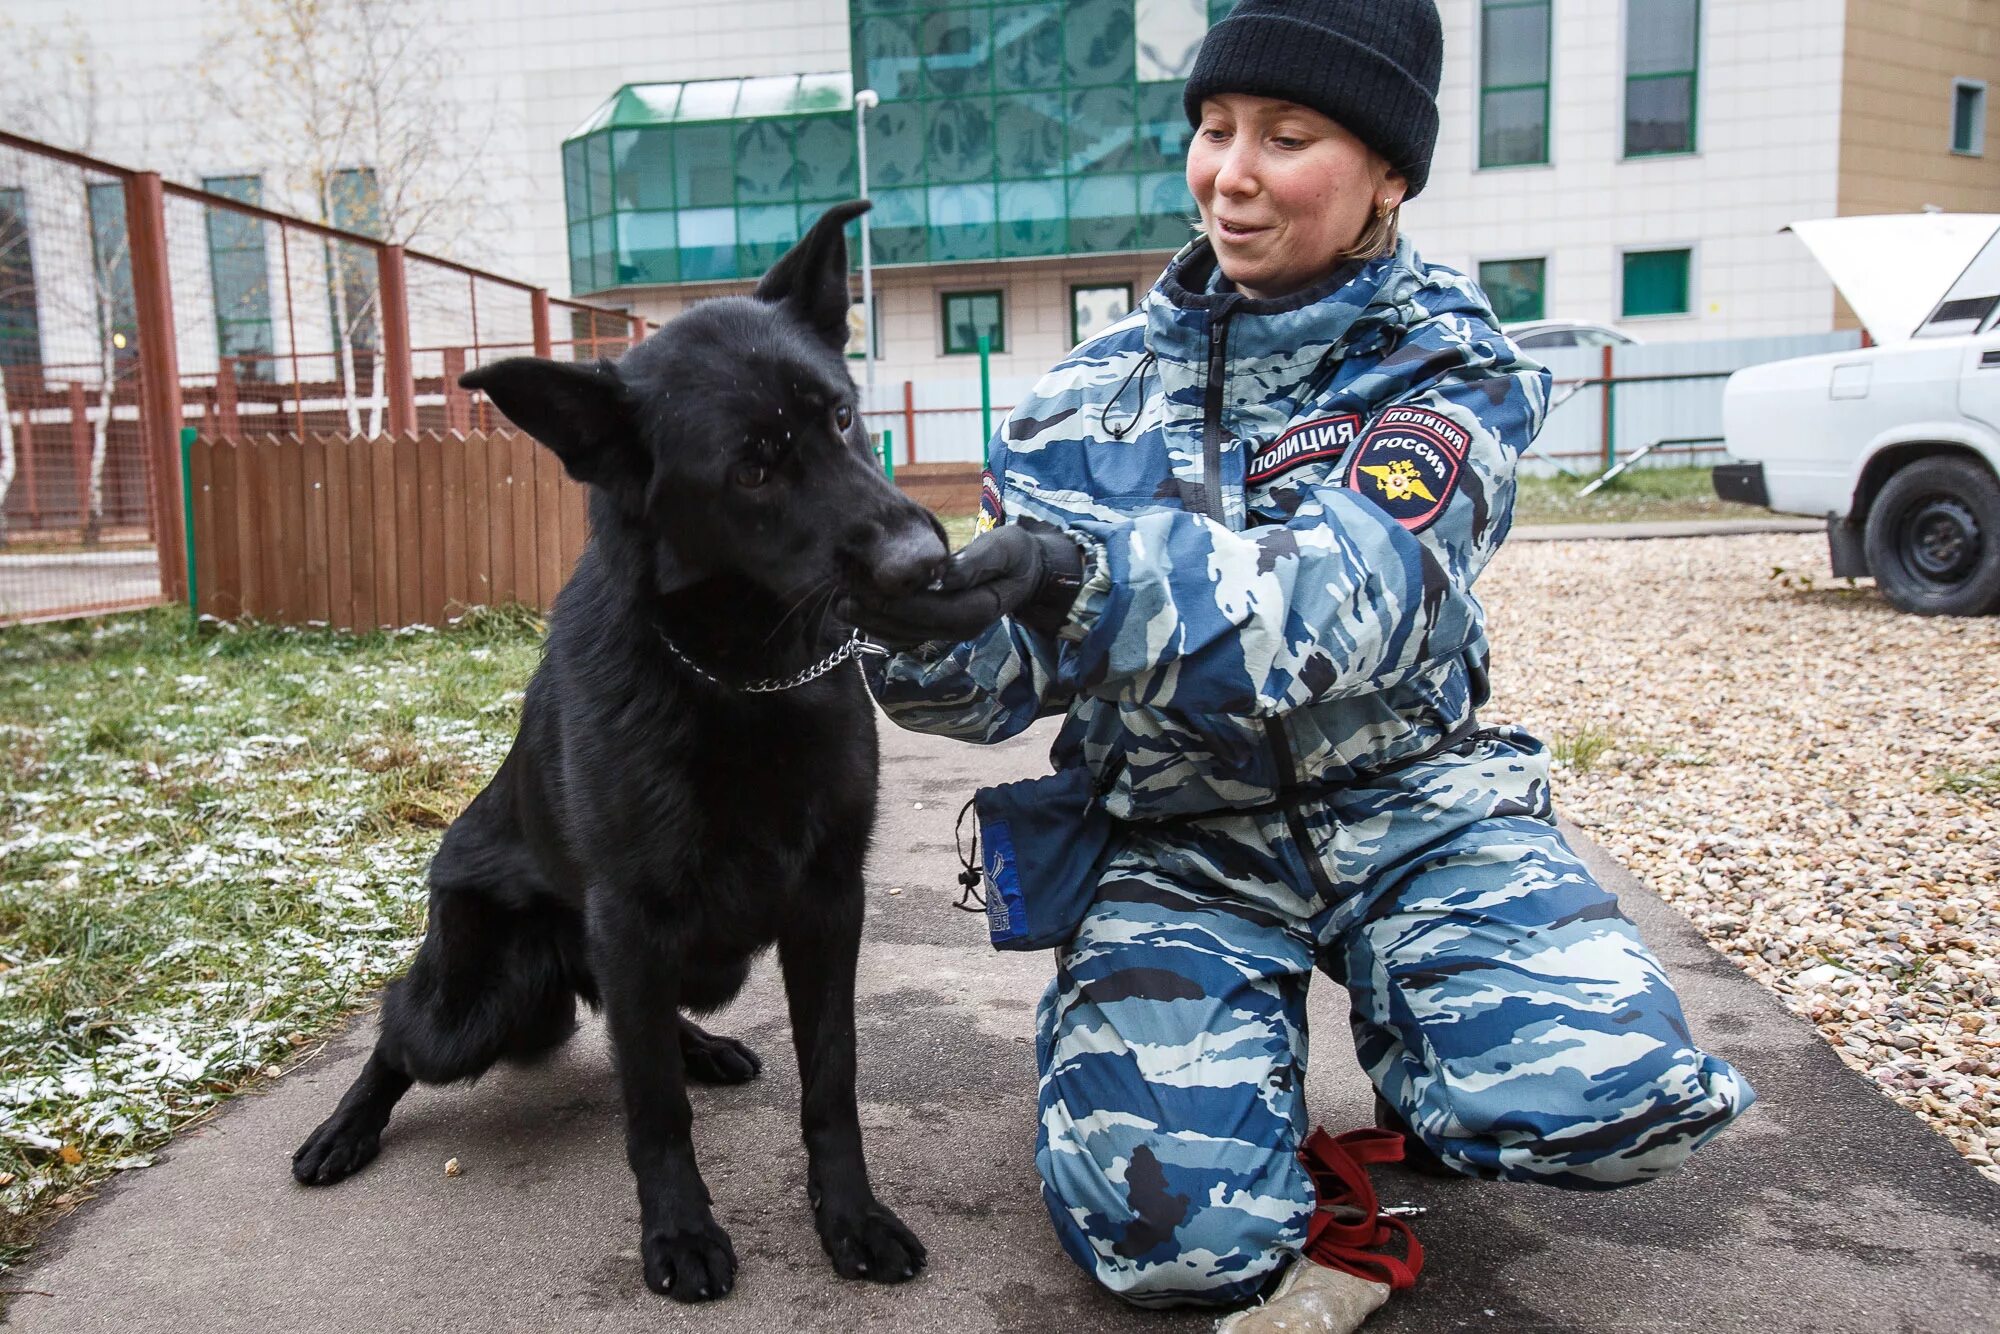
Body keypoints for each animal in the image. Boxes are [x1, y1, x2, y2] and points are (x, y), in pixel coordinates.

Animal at [292, 201, 944, 1304]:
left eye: (843, 420)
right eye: (750, 468)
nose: (928, 562)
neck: (734, 675)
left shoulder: (827, 904)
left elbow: (832, 1079)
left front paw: (852, 1217)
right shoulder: (633, 915)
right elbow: (652, 1110)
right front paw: (679, 1232)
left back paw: (703, 1046)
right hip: (481, 1000)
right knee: (398, 1027)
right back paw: (344, 1129)